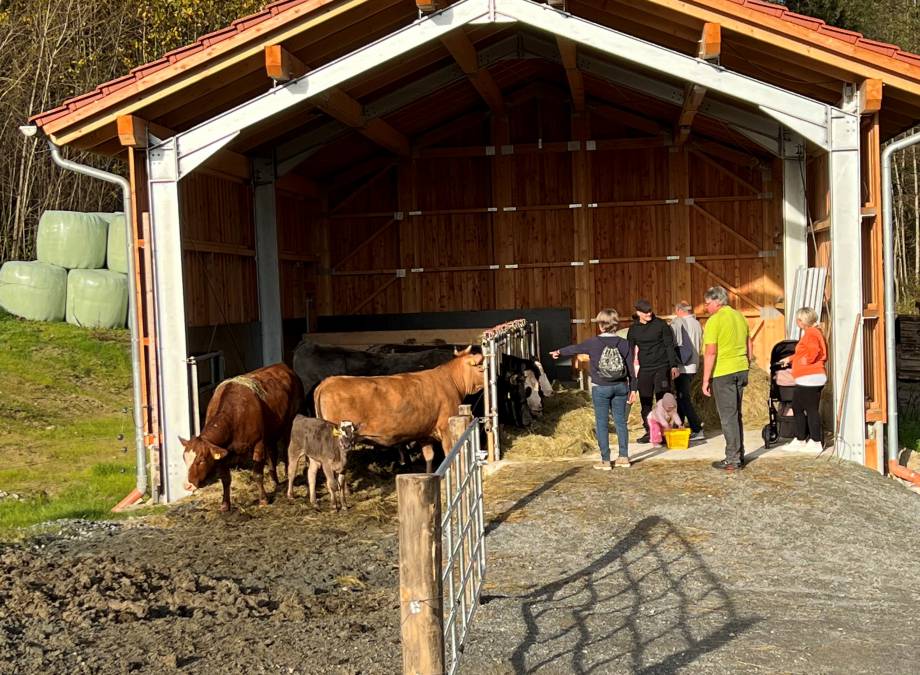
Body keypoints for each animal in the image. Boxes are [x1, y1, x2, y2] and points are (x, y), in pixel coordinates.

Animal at [181, 364, 304, 512]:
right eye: (184, 459)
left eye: (201, 460)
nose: (187, 485)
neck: (234, 414)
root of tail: (283, 366)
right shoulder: (223, 453)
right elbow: (225, 479)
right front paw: (225, 504)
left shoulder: (258, 444)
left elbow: (257, 474)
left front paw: (263, 500)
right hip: (272, 431)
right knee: (272, 453)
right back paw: (275, 481)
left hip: (290, 422)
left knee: (286, 448)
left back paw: (287, 474)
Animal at [314, 346, 486, 472]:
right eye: (480, 367)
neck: (450, 381)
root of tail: (327, 382)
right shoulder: (446, 429)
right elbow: (450, 454)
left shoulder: (424, 433)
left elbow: (429, 457)